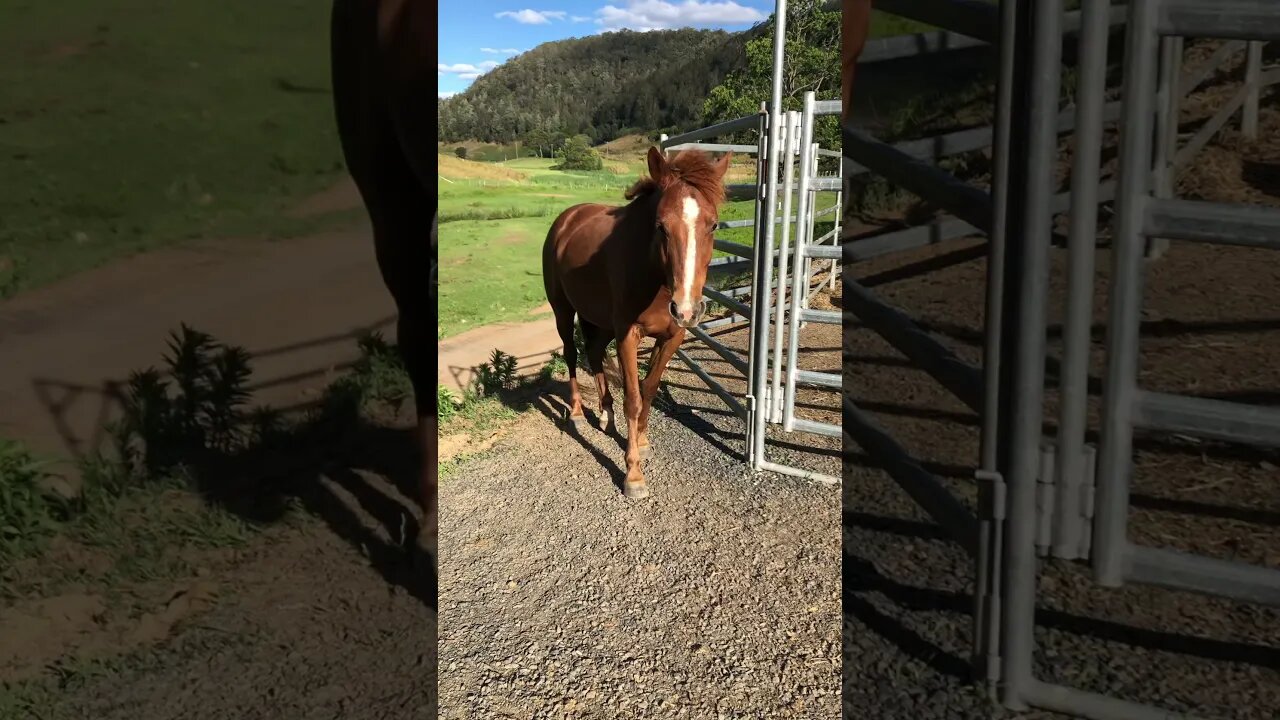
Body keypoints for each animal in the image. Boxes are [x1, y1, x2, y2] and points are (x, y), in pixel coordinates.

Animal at [545, 146, 737, 499]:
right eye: (660, 226)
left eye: (714, 225)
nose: (687, 309)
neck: (654, 276)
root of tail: (567, 218)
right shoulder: (627, 336)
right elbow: (633, 399)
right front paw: (633, 474)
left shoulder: (671, 336)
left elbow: (648, 390)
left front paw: (643, 442)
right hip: (563, 311)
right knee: (571, 354)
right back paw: (577, 413)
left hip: (600, 321)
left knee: (594, 353)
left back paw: (605, 416)